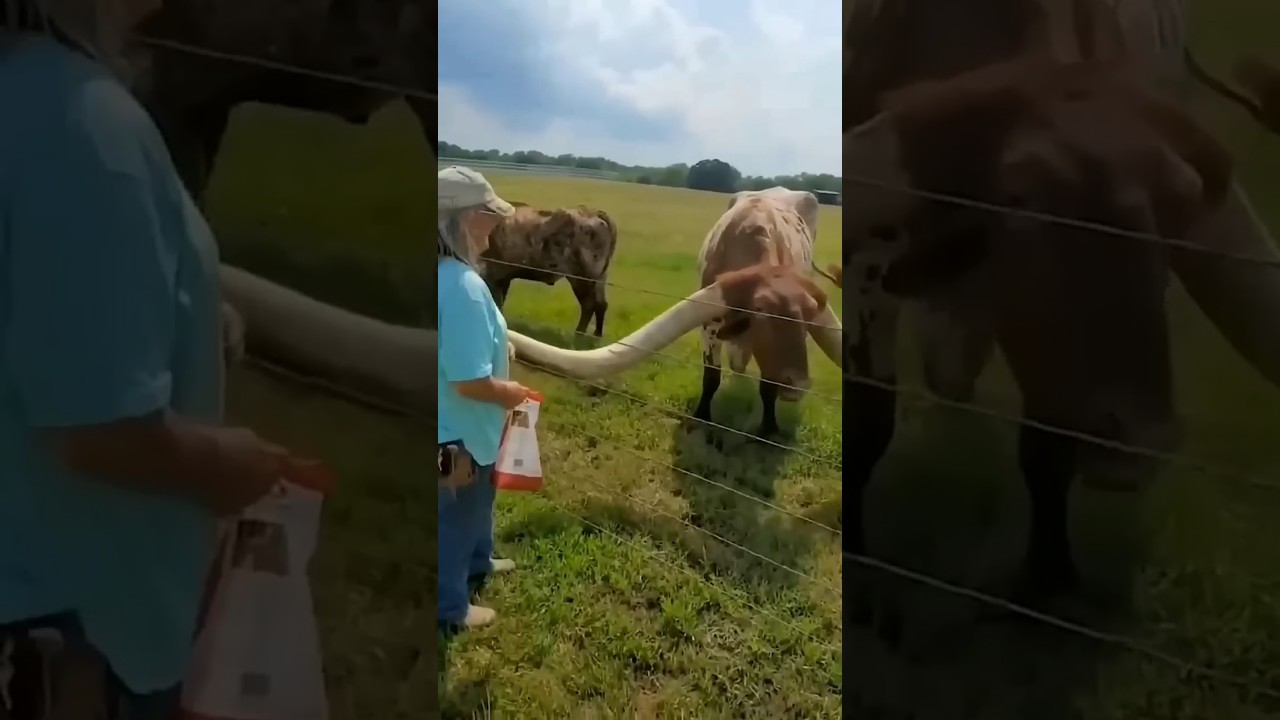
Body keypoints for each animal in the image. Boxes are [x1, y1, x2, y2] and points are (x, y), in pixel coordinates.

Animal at [481, 203, 619, 338]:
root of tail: (593, 213)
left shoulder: (493, 276)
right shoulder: (502, 278)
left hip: (581, 279)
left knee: (589, 305)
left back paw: (578, 335)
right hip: (597, 279)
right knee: (601, 304)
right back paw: (596, 335)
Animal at [693, 189, 829, 437]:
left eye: (808, 315)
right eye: (762, 316)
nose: (797, 384)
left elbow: (768, 386)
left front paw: (769, 427)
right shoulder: (709, 326)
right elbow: (711, 377)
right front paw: (702, 415)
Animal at [843, 0, 1280, 605]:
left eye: (1178, 206)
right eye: (1020, 202)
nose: (1138, 440)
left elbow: (1047, 450)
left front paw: (1049, 576)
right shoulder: (868, 273)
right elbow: (868, 421)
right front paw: (856, 555)